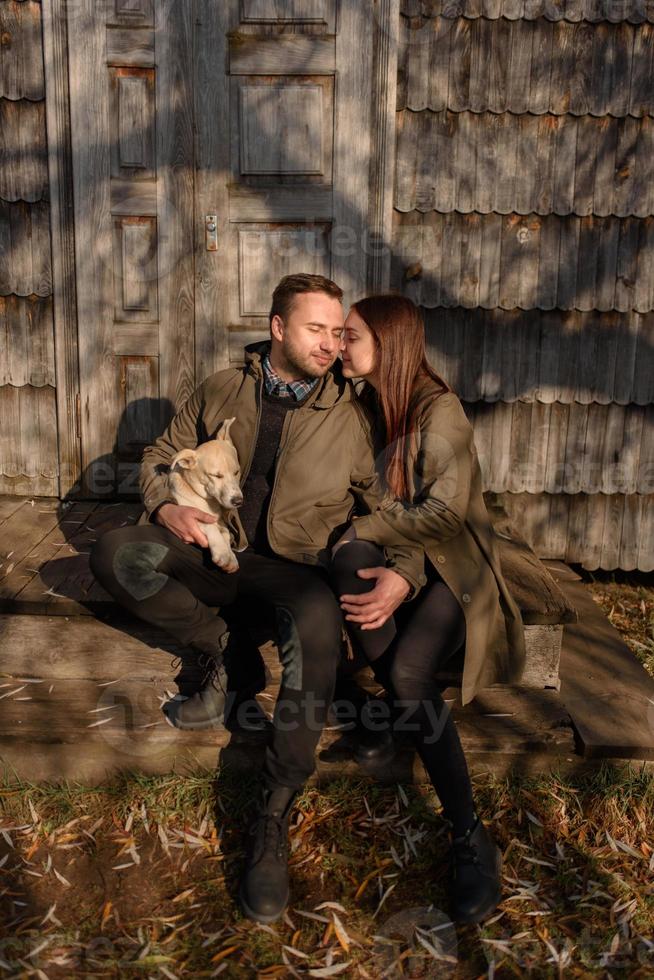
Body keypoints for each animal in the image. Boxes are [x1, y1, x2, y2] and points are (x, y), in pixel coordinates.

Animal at [169, 416, 243, 576]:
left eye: (236, 472)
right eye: (216, 475)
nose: (238, 501)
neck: (206, 500)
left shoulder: (221, 522)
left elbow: (226, 533)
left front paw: (231, 556)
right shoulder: (188, 514)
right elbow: (210, 526)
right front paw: (223, 553)